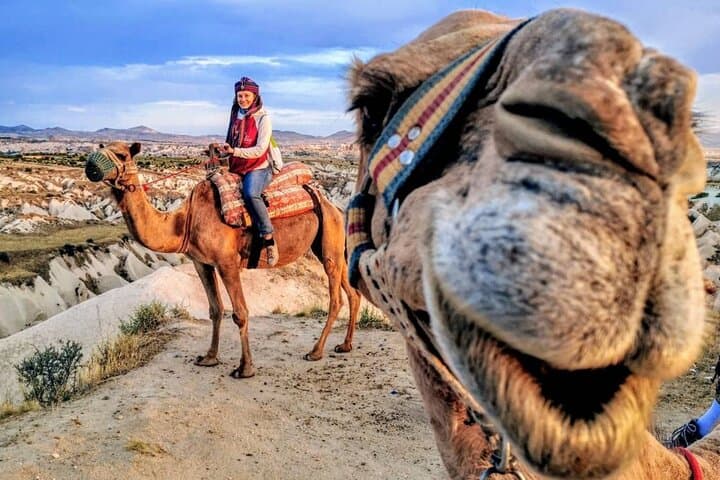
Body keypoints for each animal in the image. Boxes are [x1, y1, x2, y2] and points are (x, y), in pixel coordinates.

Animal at [84, 142, 360, 378]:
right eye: (101, 147)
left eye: (122, 155)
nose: (91, 166)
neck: (185, 221)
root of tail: (336, 207)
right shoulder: (202, 262)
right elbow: (215, 309)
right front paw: (209, 357)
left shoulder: (227, 262)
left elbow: (240, 312)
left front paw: (245, 368)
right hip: (329, 246)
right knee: (352, 292)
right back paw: (345, 345)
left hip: (330, 241)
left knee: (336, 298)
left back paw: (315, 351)